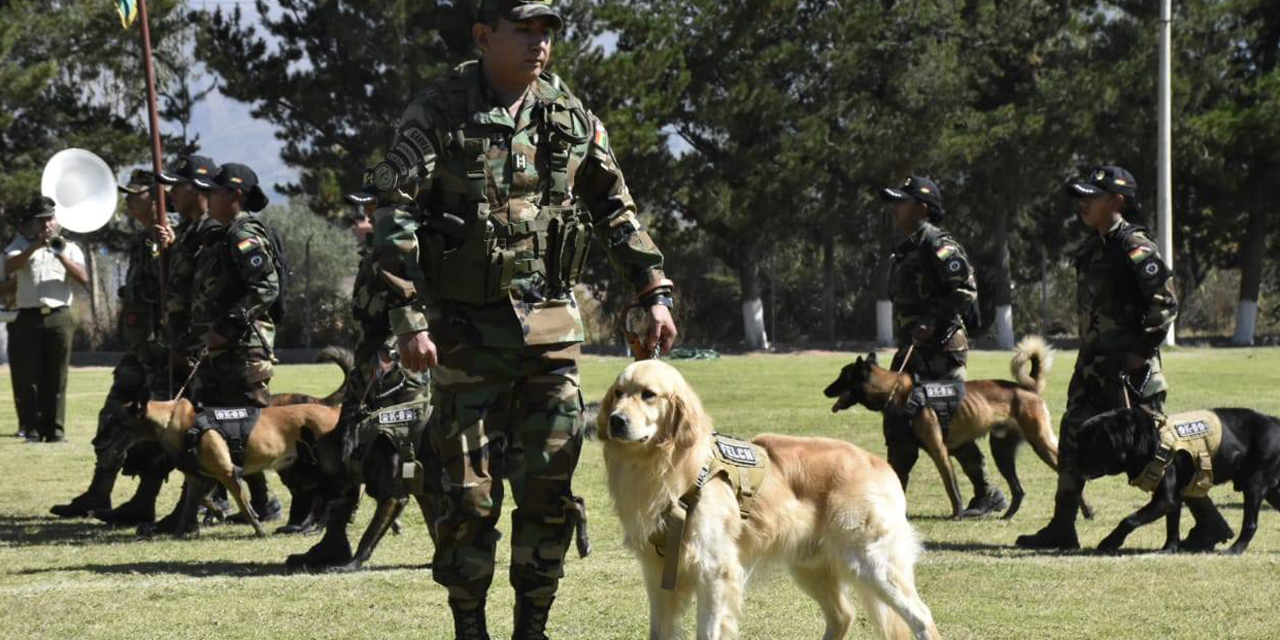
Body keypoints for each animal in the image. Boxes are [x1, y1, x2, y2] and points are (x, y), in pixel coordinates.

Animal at [824, 335, 1085, 519]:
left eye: (841, 376)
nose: (825, 390)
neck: (896, 393)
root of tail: (1028, 389)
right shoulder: (901, 453)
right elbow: (896, 480)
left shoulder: (939, 451)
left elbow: (952, 487)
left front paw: (957, 514)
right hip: (1002, 452)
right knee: (1018, 490)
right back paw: (1008, 516)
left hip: (1041, 443)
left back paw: (1085, 511)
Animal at [1070, 409, 1280, 555]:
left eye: (1089, 445)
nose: (1071, 461)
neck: (1150, 440)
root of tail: (1275, 421)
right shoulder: (1174, 497)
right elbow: (1172, 526)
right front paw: (1169, 549)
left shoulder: (1164, 499)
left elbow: (1128, 520)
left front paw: (1109, 543)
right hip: (1272, 491)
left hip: (1254, 485)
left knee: (1250, 524)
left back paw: (1235, 550)